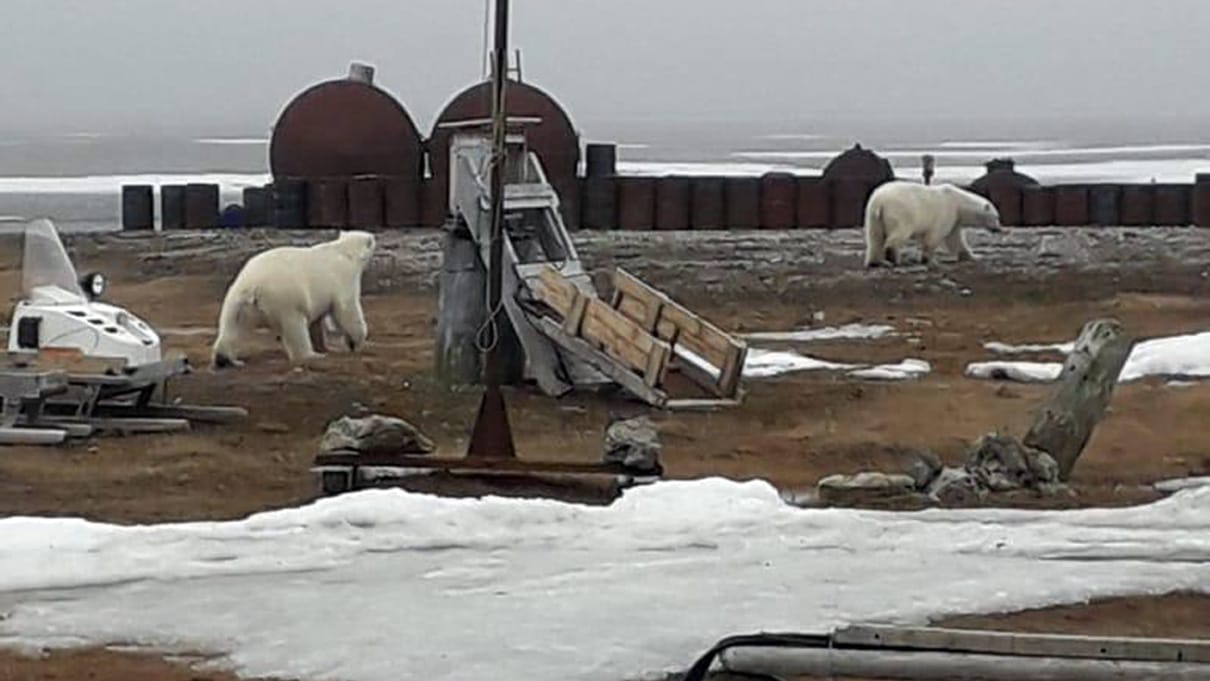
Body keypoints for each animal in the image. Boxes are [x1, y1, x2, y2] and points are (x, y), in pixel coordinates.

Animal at [210, 228, 375, 367]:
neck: (345, 251)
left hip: (237, 300)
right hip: (285, 298)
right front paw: (354, 342)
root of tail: (252, 286)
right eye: (372, 241)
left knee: (234, 325)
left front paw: (323, 345)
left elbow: (318, 317)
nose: (374, 238)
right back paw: (310, 355)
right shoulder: (343, 277)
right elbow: (347, 309)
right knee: (294, 327)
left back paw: (224, 358)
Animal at [866, 181, 1006, 269]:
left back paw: (875, 262)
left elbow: (955, 239)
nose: (998, 229)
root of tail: (880, 201)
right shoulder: (946, 212)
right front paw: (930, 260)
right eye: (997, 217)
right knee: (900, 232)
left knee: (875, 237)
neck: (959, 202)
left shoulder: (954, 218)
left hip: (872, 215)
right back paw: (893, 259)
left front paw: (973, 256)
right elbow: (935, 235)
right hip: (901, 212)